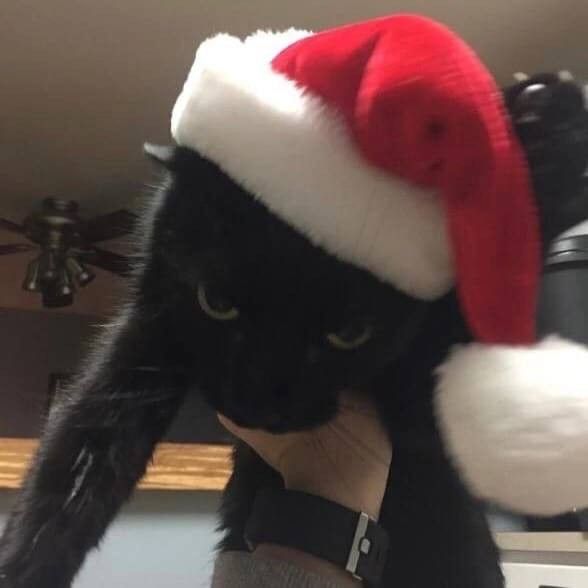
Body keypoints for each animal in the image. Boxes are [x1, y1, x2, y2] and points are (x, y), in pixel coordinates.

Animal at [0, 73, 584, 588]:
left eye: (349, 334)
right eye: (217, 303)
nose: (261, 401)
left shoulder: (428, 387)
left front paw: (546, 134)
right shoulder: (149, 333)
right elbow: (75, 458)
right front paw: (24, 565)